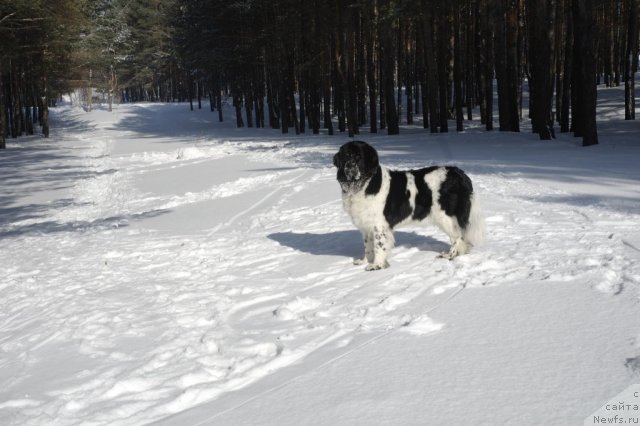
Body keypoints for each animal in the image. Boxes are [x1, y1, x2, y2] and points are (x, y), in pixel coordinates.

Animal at [336, 141, 484, 272]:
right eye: (346, 156)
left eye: (359, 157)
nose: (349, 166)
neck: (364, 183)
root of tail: (459, 174)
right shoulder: (366, 225)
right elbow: (368, 246)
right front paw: (365, 262)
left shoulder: (379, 225)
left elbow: (379, 245)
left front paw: (376, 265)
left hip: (445, 217)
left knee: (457, 237)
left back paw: (450, 255)